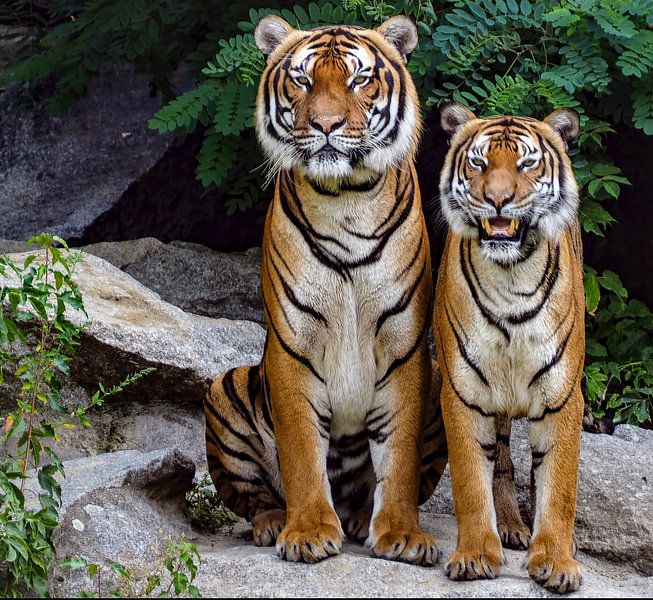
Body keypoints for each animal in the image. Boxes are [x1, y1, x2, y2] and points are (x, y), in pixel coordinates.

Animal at [203, 15, 448, 565]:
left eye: (359, 80)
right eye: (303, 80)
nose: (326, 125)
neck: (346, 199)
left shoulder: (405, 349)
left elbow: (398, 457)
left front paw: (401, 533)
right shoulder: (293, 346)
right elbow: (300, 450)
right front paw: (309, 531)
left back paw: (359, 519)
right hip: (225, 386)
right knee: (254, 498)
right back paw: (275, 522)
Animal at [433, 102, 585, 593]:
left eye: (526, 163)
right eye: (479, 163)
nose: (497, 199)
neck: (511, 277)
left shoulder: (563, 398)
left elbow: (558, 487)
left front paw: (556, 560)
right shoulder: (462, 393)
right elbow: (469, 480)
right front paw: (476, 554)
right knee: (500, 461)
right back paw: (511, 527)